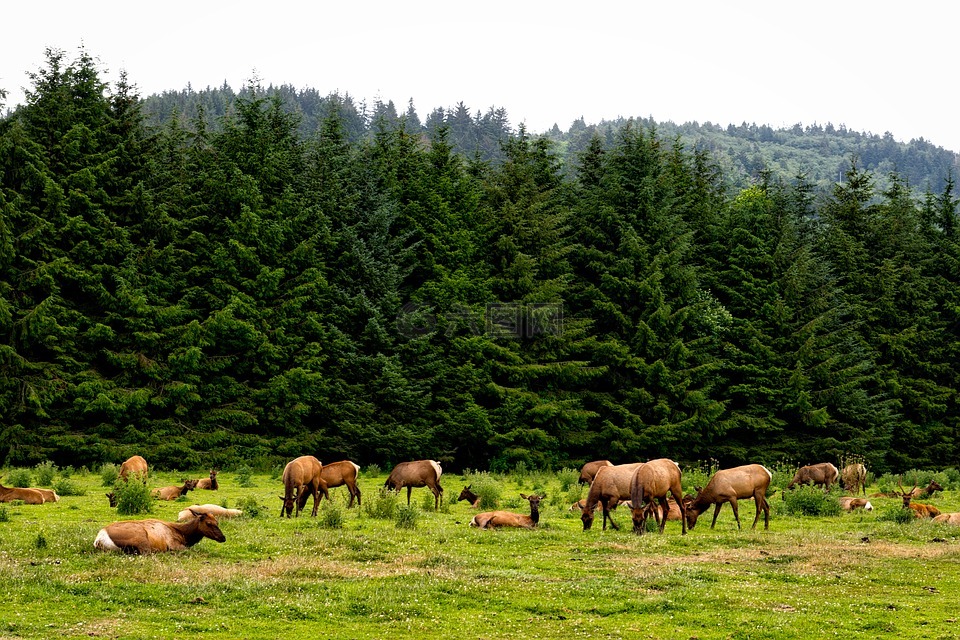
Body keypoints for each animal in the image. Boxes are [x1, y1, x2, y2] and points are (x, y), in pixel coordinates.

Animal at [94, 508, 228, 552]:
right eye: (209, 523)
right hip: (141, 538)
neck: (183, 535)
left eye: (217, 522)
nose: (223, 537)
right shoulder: (173, 544)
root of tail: (99, 540)